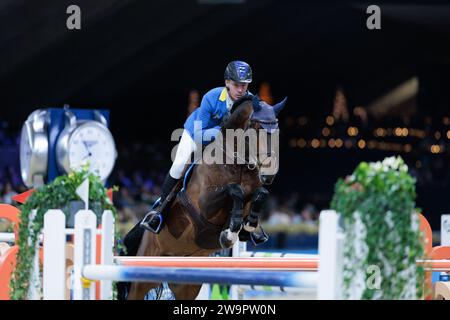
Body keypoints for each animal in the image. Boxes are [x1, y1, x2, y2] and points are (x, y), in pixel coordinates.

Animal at [119, 94, 286, 298]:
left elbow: (261, 194)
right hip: (143, 276)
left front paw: (248, 226)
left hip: (187, 284)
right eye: (257, 129)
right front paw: (230, 233)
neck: (236, 162)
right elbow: (234, 190)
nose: (269, 176)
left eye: (277, 132)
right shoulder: (205, 205)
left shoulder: (252, 194)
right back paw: (153, 219)